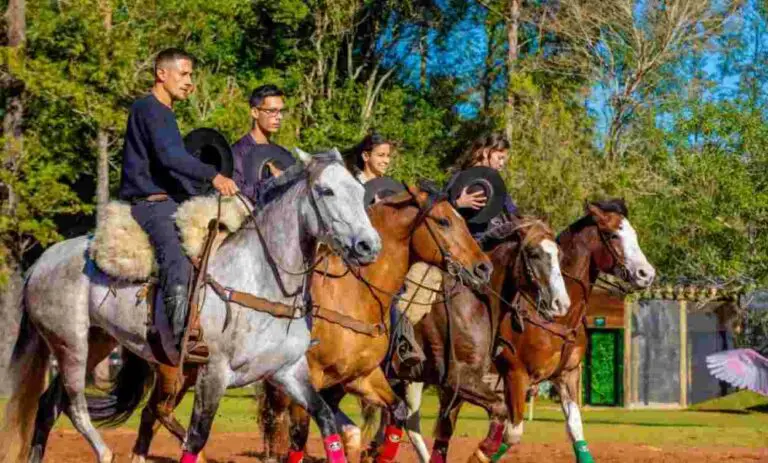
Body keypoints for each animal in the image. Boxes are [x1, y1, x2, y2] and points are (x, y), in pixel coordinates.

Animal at [0, 148, 381, 463]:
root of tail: (42, 261)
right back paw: (105, 452)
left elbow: (327, 420)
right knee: (76, 405)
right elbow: (196, 439)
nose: (368, 246)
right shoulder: (214, 374)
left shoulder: (289, 371)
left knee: (49, 406)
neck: (260, 278)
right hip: (71, 344)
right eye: (326, 191)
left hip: (97, 342)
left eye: (360, 192)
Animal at [114, 183, 494, 463]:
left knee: (150, 416)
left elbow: (393, 416)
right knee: (160, 412)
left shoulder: (361, 377)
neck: (353, 294)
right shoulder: (307, 378)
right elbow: (299, 437)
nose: (483, 267)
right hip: (175, 374)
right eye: (443, 222)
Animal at [407, 199, 656, 463]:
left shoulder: (566, 375)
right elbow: (512, 433)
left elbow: (575, 429)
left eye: (633, 233)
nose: (647, 274)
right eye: (612, 235)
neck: (557, 317)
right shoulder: (515, 375)